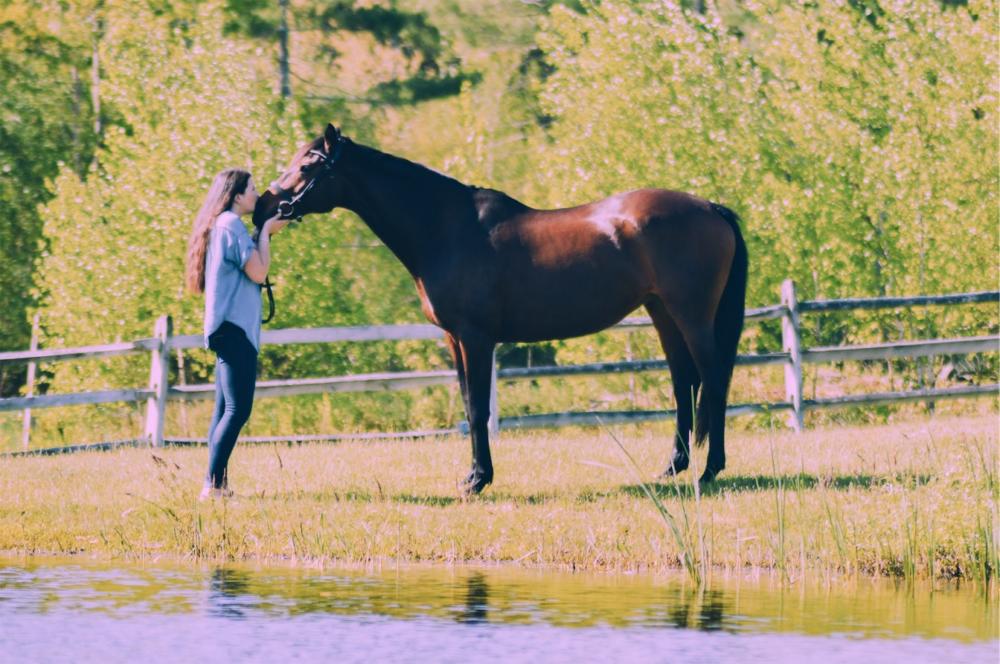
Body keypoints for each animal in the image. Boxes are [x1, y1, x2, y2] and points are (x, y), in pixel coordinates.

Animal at [253, 124, 748, 496]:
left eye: (306, 165)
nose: (261, 206)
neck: (445, 228)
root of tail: (711, 207)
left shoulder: (476, 338)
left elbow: (477, 409)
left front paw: (478, 480)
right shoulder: (454, 340)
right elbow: (470, 404)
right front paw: (474, 475)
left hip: (692, 316)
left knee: (713, 381)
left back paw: (709, 471)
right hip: (663, 313)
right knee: (683, 383)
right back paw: (674, 467)